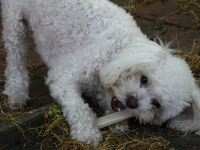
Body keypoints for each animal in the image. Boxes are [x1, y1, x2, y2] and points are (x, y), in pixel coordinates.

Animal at [2, 0, 200, 146]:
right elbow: (78, 107)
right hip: (14, 20)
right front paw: (86, 131)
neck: (117, 50)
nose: (132, 101)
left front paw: (118, 122)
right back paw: (16, 94)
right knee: (15, 58)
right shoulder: (63, 76)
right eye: (144, 79)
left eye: (157, 104)